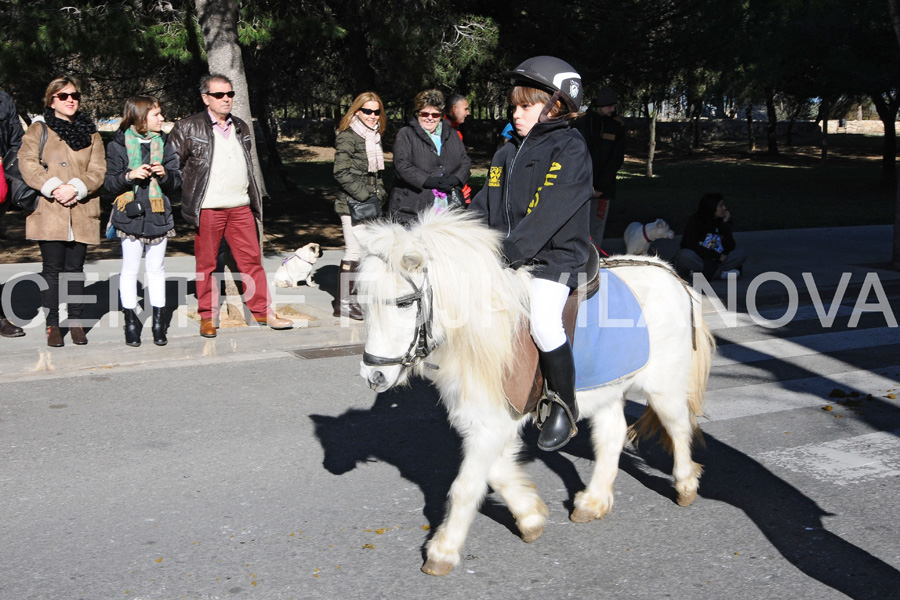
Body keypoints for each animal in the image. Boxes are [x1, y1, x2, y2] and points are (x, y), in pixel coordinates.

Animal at [356, 211, 712, 576]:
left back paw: (685, 485)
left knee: (678, 426)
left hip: (663, 385)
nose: (374, 376)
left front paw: (443, 551)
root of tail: (669, 273)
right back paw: (593, 501)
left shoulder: (492, 424)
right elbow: (496, 474)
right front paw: (531, 517)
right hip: (608, 389)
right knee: (612, 435)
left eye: (403, 302)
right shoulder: (486, 421)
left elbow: (466, 486)